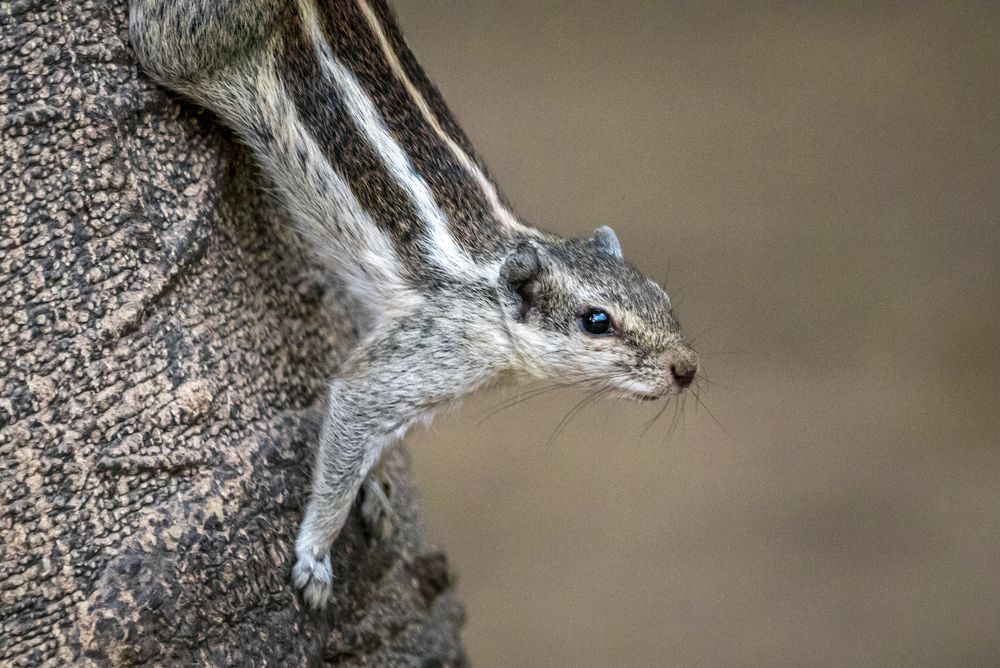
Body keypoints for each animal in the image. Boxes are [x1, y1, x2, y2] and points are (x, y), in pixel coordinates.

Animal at [129, 0, 699, 609]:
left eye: (661, 296)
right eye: (597, 322)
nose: (687, 369)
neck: (491, 290)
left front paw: (375, 488)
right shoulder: (425, 352)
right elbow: (352, 411)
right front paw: (316, 552)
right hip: (188, 48)